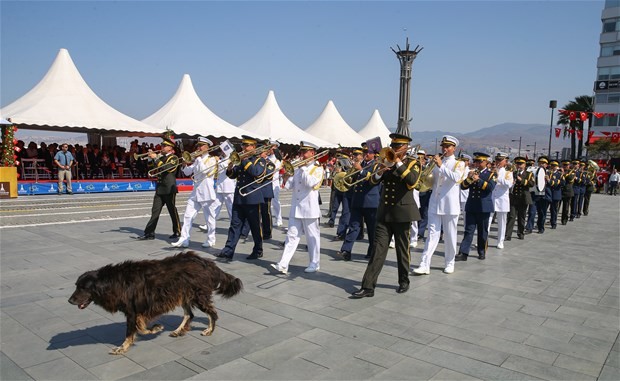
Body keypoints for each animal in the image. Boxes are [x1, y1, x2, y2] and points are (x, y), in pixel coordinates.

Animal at [68, 249, 242, 354]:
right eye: (76, 286)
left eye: (83, 288)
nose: (69, 300)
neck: (113, 281)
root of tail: (206, 262)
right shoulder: (136, 311)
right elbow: (140, 328)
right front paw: (155, 328)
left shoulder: (133, 311)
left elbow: (135, 330)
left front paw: (124, 346)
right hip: (184, 294)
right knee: (189, 314)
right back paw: (179, 330)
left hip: (198, 296)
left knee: (212, 313)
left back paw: (209, 330)